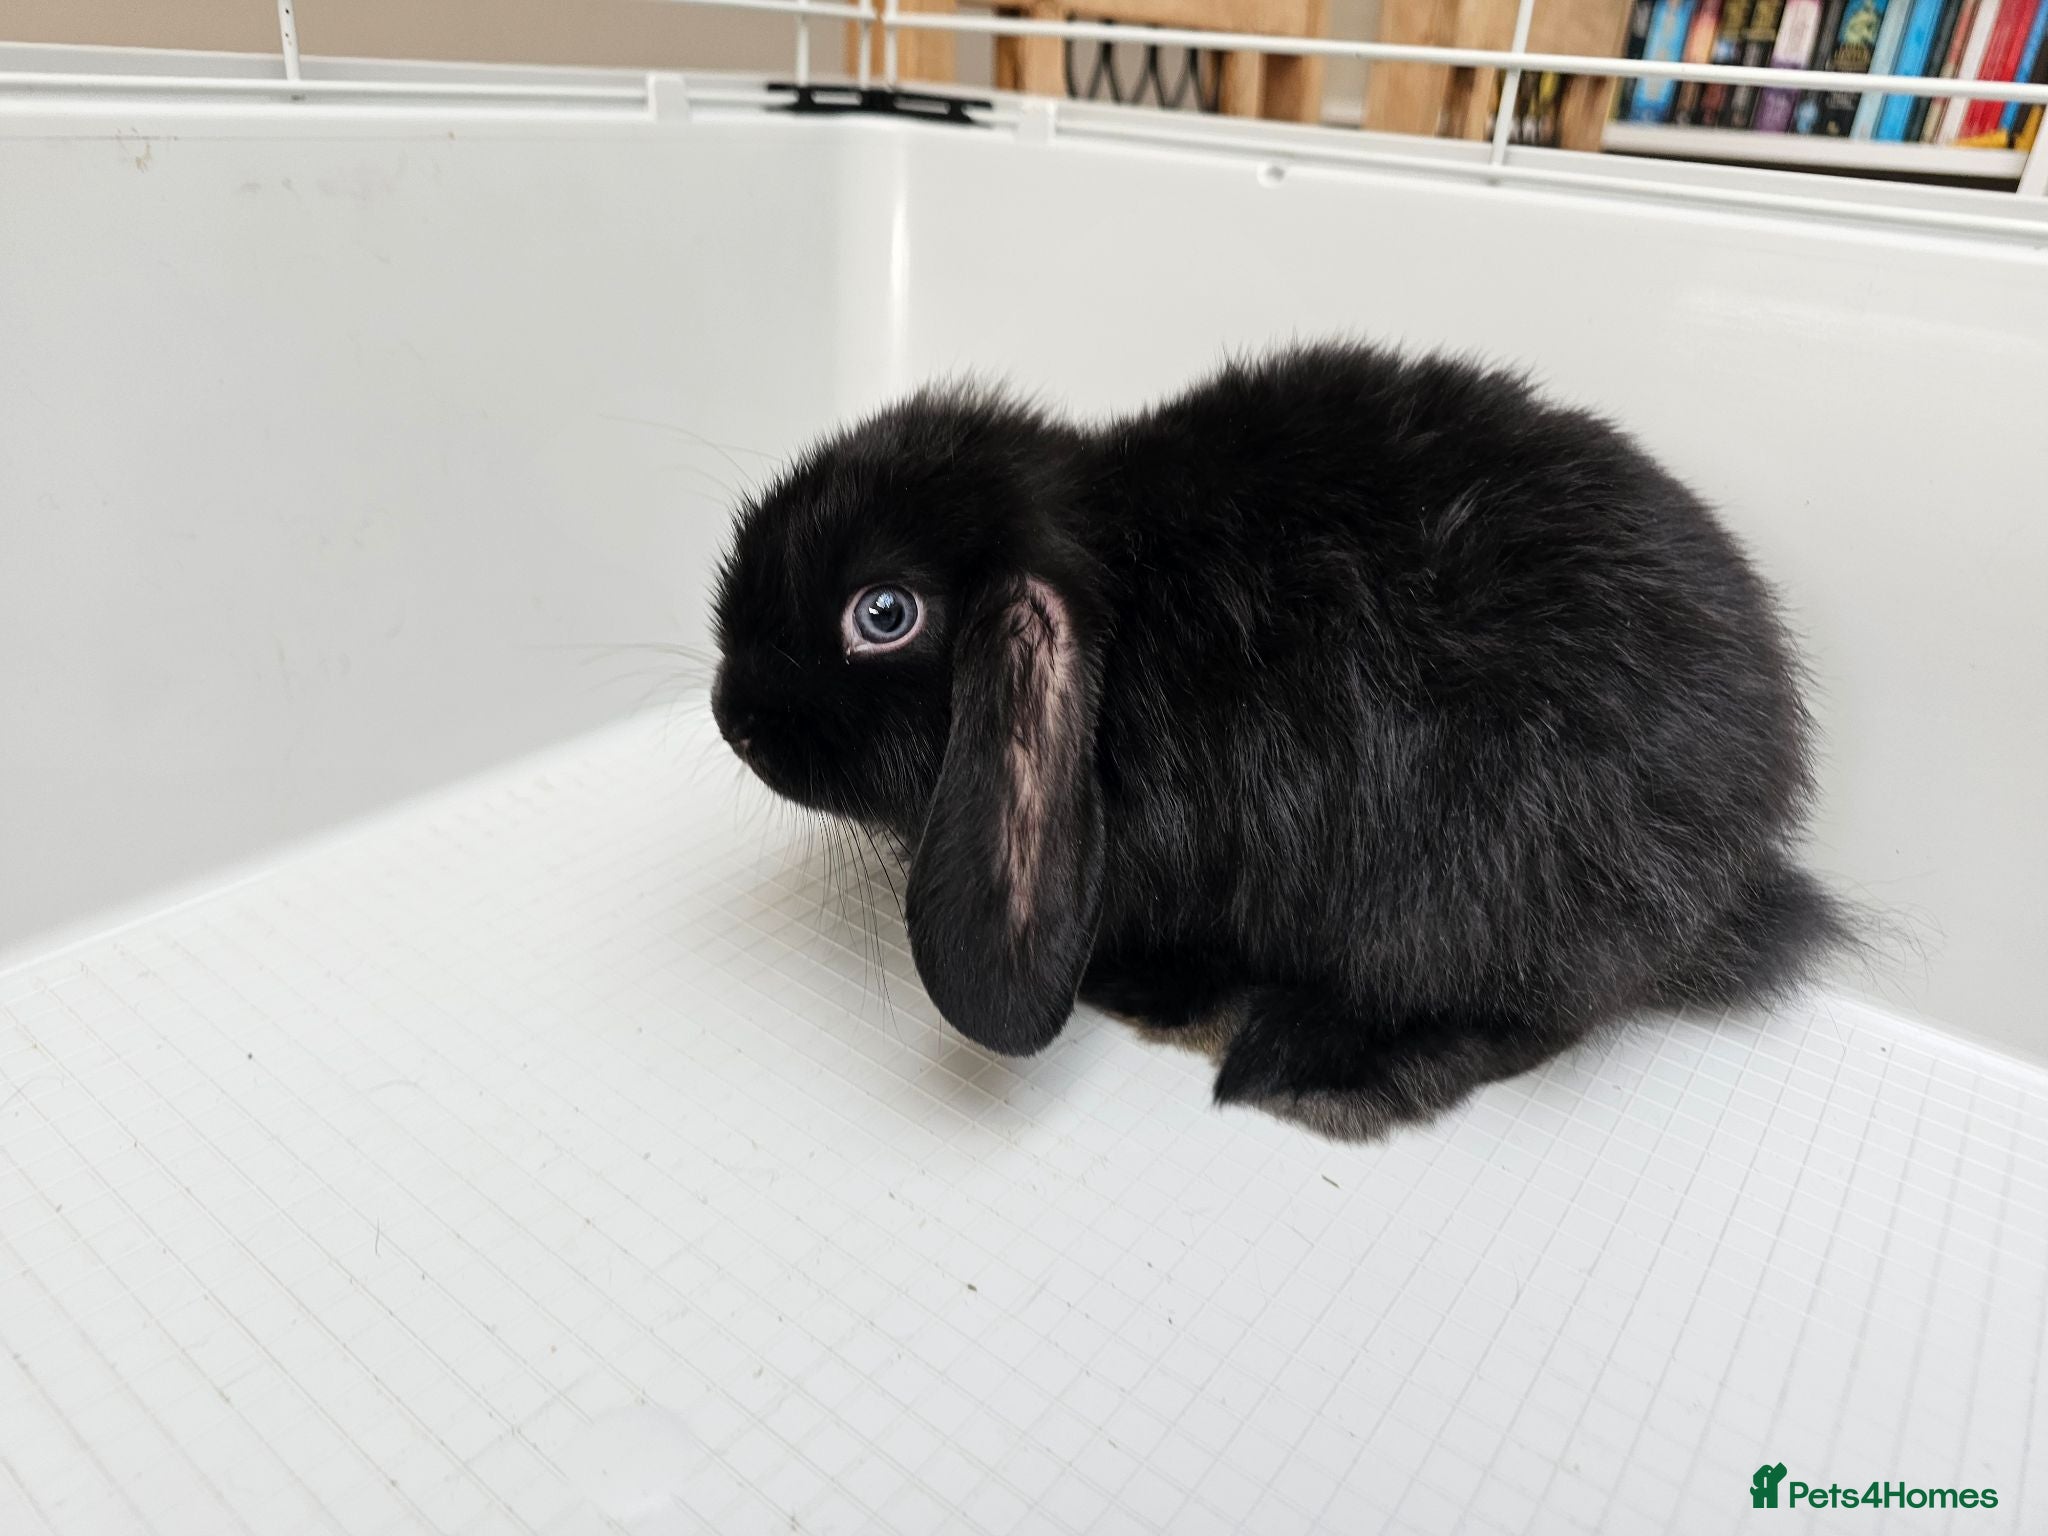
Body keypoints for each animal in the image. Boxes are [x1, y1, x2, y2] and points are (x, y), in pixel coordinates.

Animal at [709, 341, 1849, 1139]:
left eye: (883, 613)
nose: (733, 719)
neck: (1125, 610)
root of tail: (1750, 842)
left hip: (1485, 888)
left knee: (1526, 1016)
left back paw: (1312, 1067)